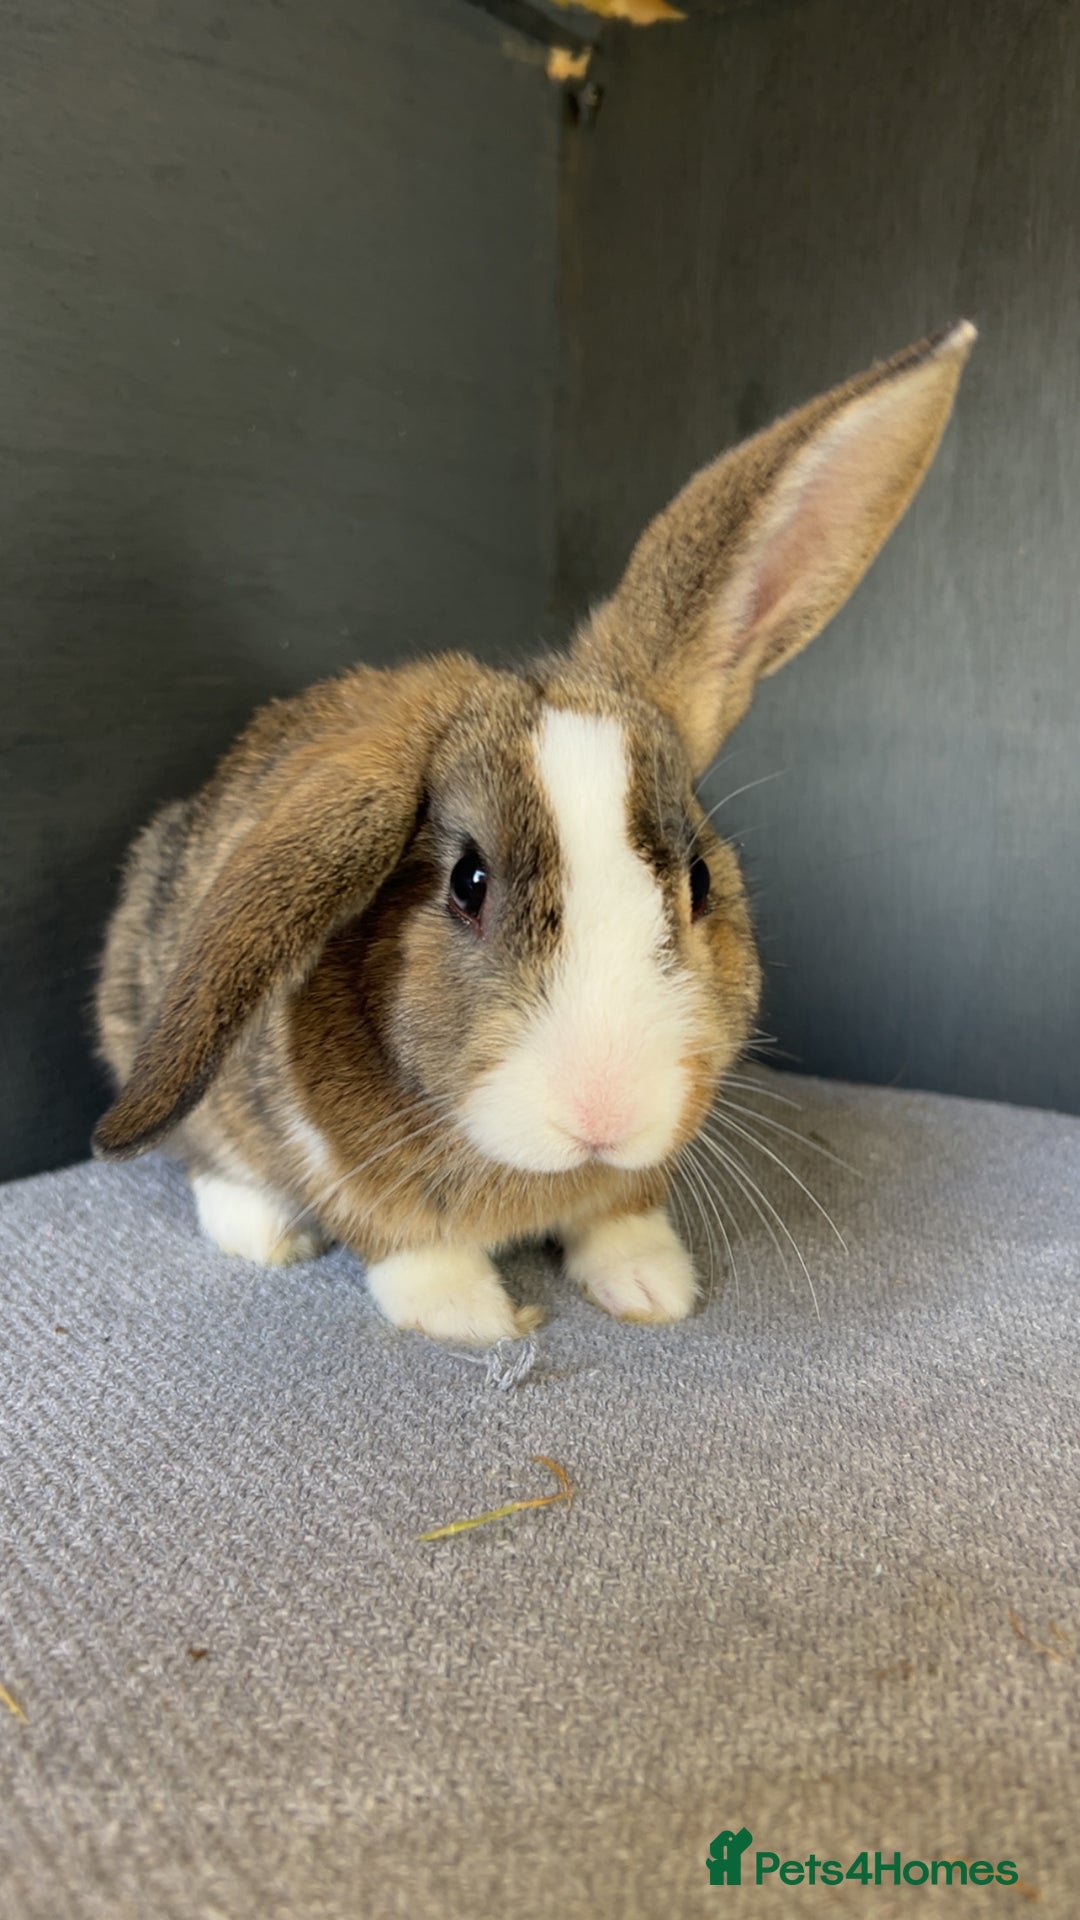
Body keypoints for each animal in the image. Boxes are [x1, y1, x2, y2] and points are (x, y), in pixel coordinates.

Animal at [94, 322, 975, 1345]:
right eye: (466, 883)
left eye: (700, 879)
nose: (605, 1110)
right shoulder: (337, 1165)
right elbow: (405, 1244)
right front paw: (473, 1319)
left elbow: (621, 1219)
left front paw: (652, 1289)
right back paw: (265, 1235)